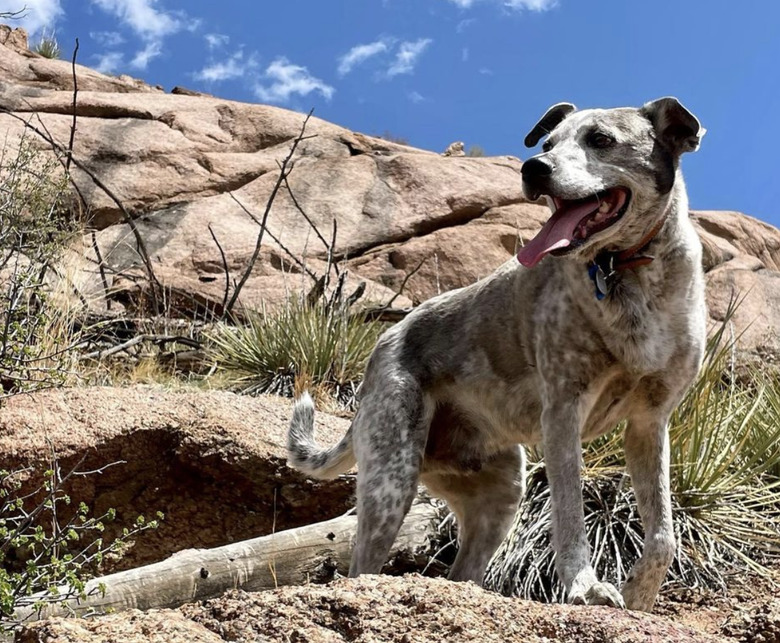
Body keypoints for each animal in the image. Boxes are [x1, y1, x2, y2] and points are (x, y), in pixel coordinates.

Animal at [284, 98, 708, 612]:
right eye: (548, 143)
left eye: (601, 139)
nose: (533, 168)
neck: (623, 270)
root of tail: (382, 347)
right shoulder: (564, 412)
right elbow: (570, 511)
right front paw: (586, 587)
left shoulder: (650, 422)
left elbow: (664, 534)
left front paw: (639, 596)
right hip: (391, 479)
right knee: (362, 566)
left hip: (501, 494)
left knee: (461, 573)